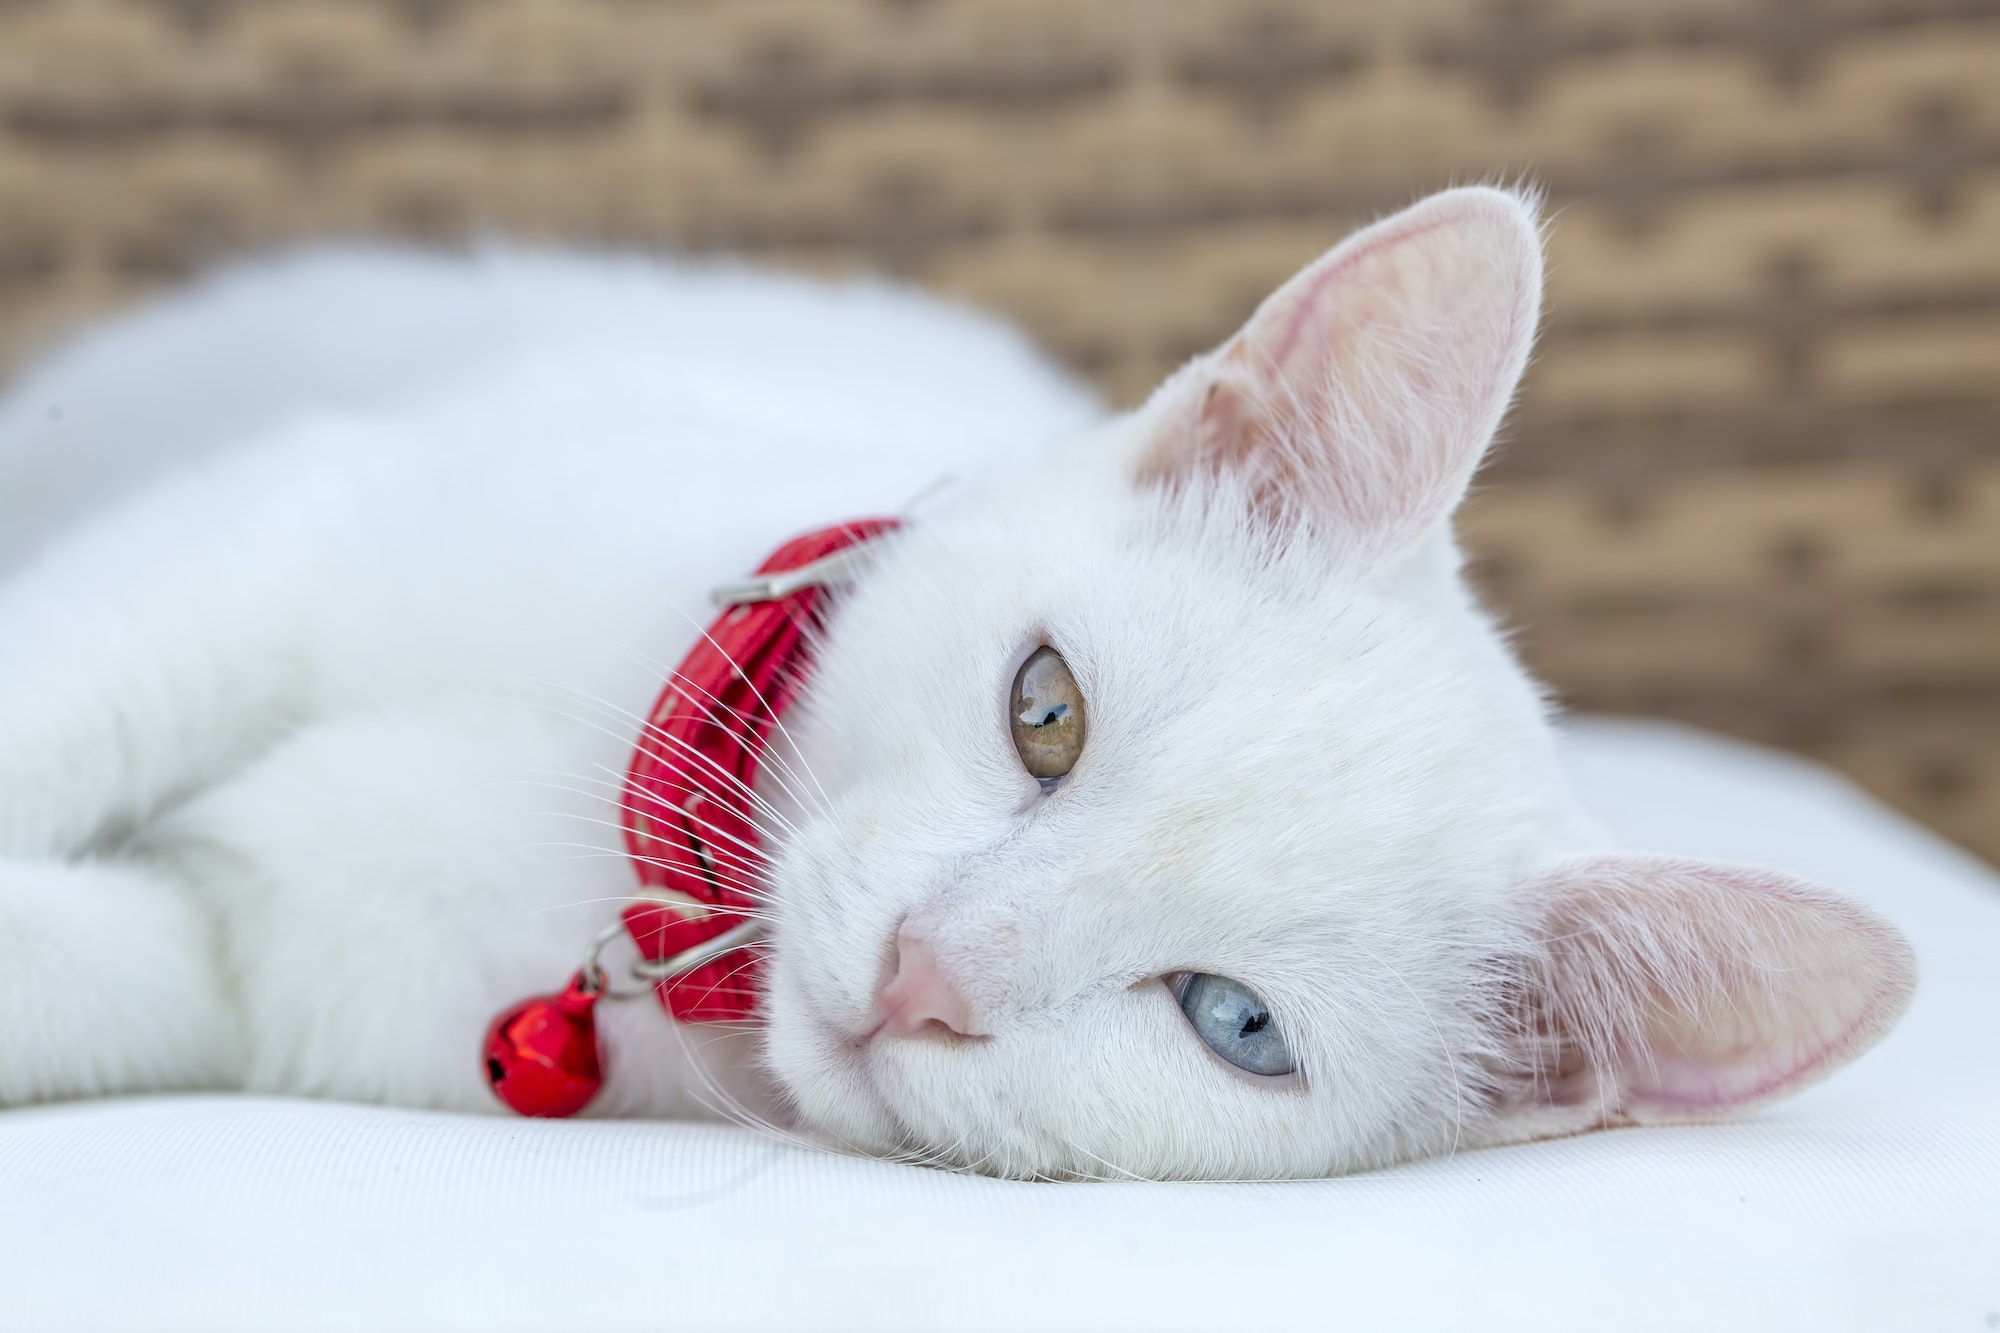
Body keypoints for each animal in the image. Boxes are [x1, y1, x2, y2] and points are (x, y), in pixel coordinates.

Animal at [0, 187, 1904, 1176]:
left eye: (1233, 1021)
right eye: (1045, 710)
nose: (928, 968)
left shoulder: (258, 974)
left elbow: (103, 964)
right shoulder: (297, 527)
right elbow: (71, 690)